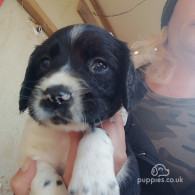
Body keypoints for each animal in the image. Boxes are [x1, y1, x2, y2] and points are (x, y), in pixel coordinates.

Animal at [18, 23, 146, 194]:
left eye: (99, 65)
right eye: (45, 62)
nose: (54, 97)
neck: (65, 134)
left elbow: (96, 132)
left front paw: (93, 181)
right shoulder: (32, 153)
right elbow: (44, 175)